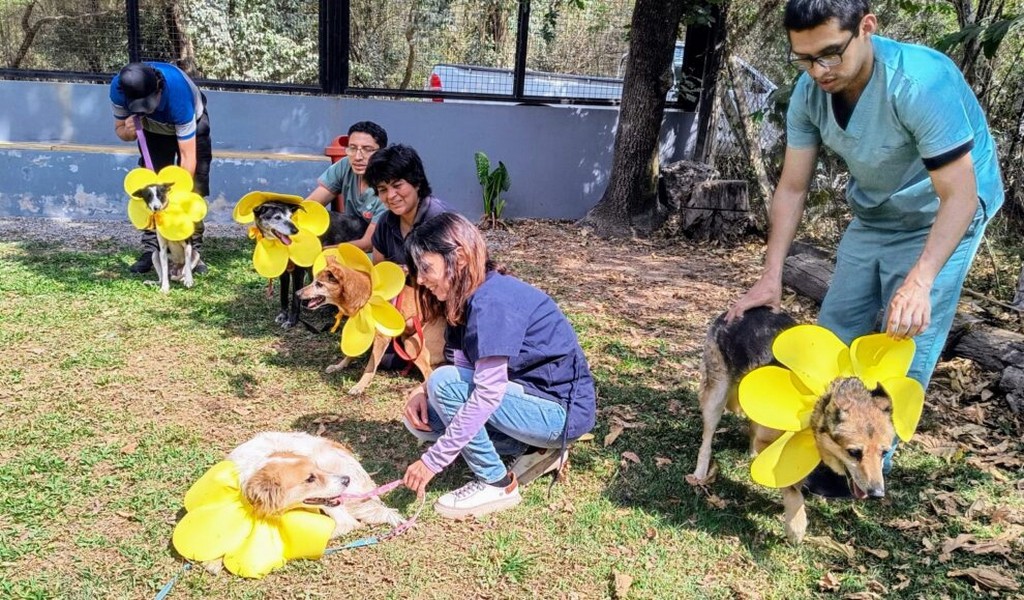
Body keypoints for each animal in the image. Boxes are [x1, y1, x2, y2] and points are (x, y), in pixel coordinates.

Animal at [292, 251, 444, 393]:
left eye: (319, 284)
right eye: (313, 281)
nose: (297, 293)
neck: (365, 296)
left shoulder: (381, 339)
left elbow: (370, 366)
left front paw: (360, 386)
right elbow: (350, 353)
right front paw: (339, 366)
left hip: (411, 344)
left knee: (429, 374)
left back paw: (411, 390)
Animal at [688, 305, 897, 544]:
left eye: (884, 453)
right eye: (854, 452)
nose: (877, 494)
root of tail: (735, 312)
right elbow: (791, 489)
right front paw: (796, 525)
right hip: (716, 395)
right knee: (707, 439)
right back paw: (701, 470)